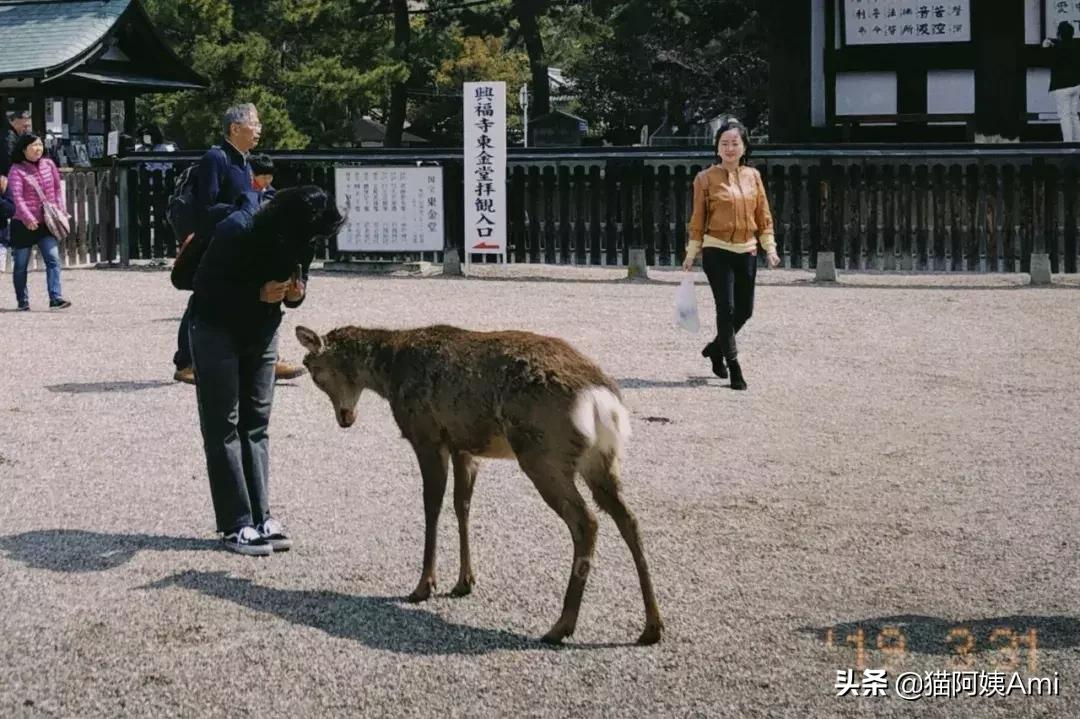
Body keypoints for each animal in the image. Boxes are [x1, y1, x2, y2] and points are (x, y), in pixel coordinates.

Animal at [295, 323, 663, 645]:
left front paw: (423, 586)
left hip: (544, 453)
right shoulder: (464, 446)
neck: (389, 374)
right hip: (601, 461)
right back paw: (651, 627)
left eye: (313, 370)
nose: (344, 419)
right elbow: (463, 505)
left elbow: (432, 505)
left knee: (586, 521)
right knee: (628, 519)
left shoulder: (426, 434)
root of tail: (602, 399)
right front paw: (464, 582)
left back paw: (560, 627)